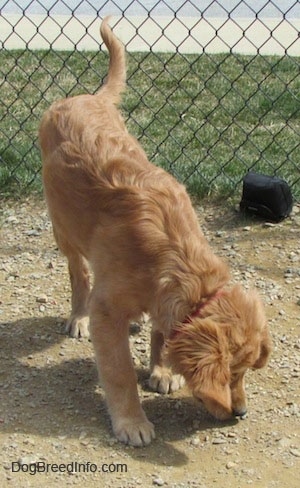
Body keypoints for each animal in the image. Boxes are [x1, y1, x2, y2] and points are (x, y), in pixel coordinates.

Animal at [39, 18, 272, 446]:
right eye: (231, 373)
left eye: (245, 371)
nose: (241, 413)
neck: (173, 254)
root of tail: (83, 97)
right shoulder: (107, 308)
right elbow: (118, 371)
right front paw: (132, 420)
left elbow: (163, 331)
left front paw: (162, 369)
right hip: (64, 229)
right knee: (79, 273)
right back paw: (78, 315)